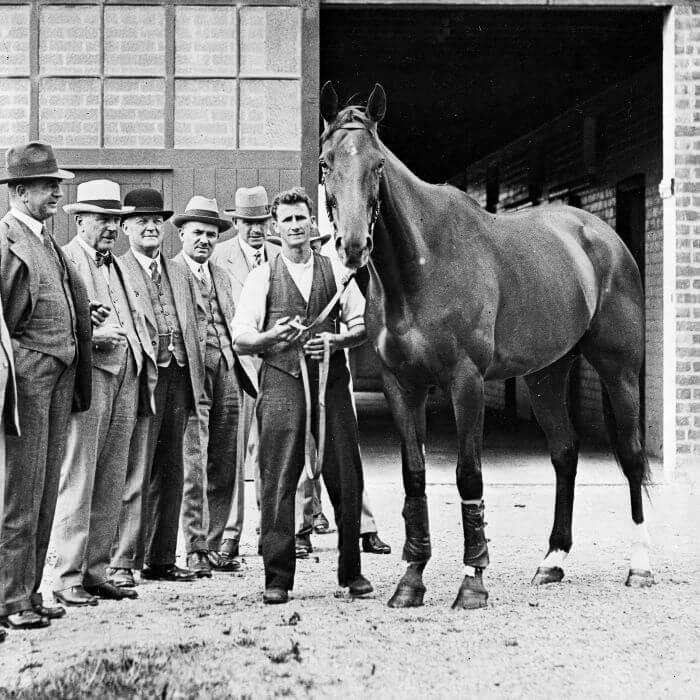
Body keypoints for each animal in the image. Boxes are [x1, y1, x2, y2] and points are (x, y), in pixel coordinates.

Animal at [320, 80, 652, 608]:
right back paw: (552, 560)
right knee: (565, 453)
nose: (353, 247)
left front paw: (472, 582)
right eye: (326, 162)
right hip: (545, 376)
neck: (422, 265)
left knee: (632, 455)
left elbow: (467, 475)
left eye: (377, 165)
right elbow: (414, 476)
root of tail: (602, 238)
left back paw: (639, 566)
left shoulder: (466, 382)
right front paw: (410, 580)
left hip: (618, 369)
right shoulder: (401, 385)